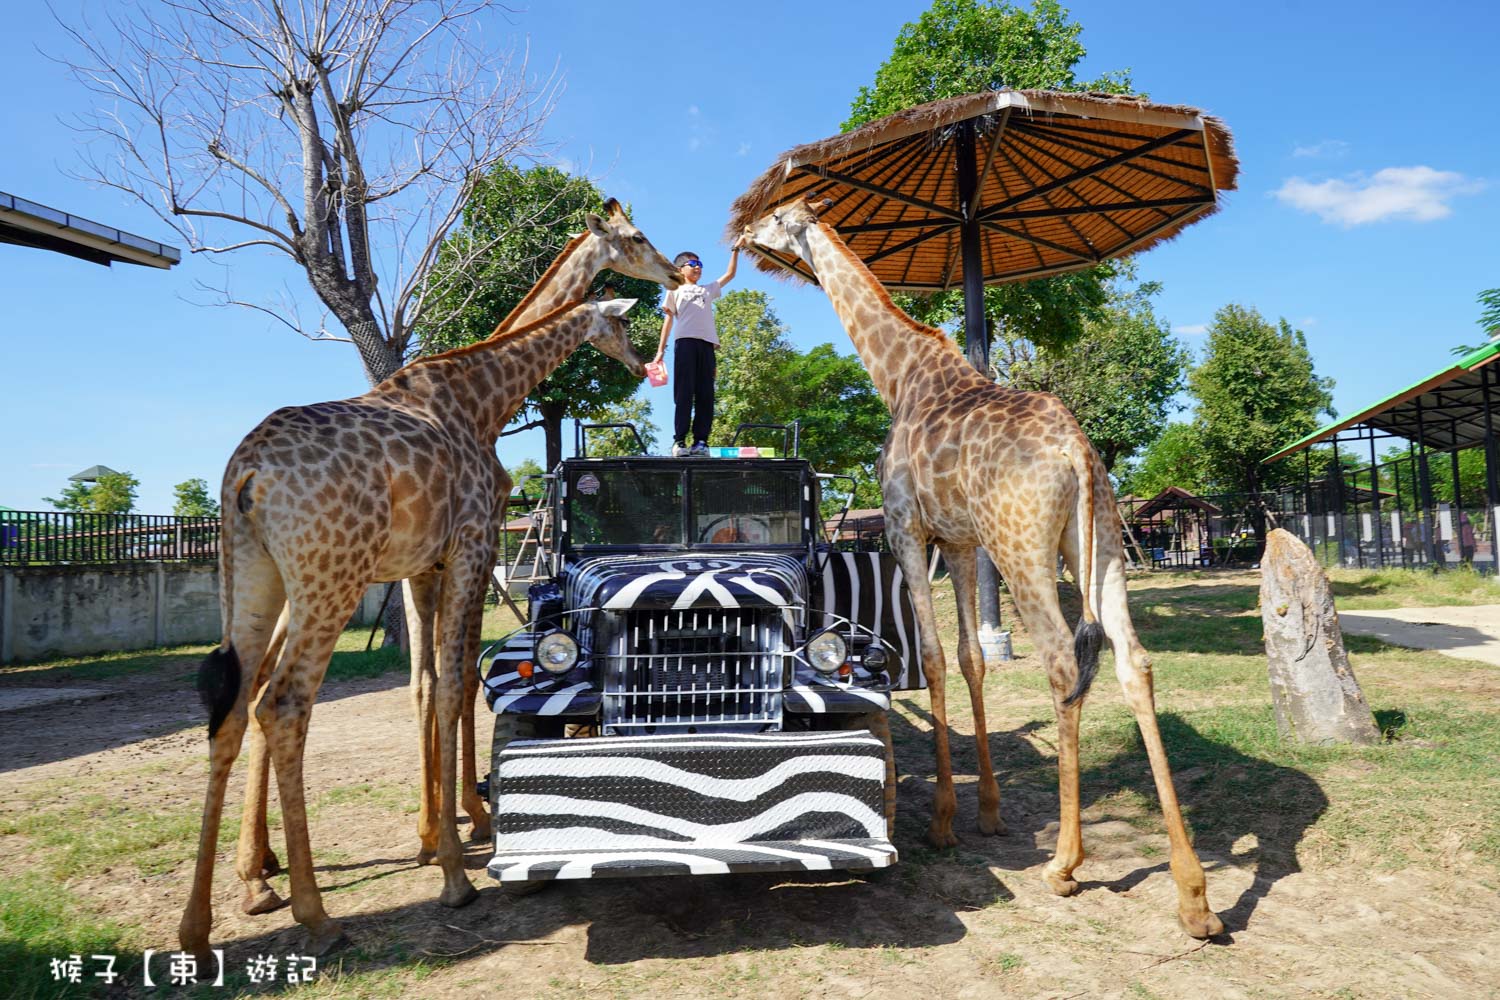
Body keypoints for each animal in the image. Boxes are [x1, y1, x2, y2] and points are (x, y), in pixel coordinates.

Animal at [178, 296, 648, 959]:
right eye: (625, 321)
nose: (643, 362)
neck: (480, 397)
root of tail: (244, 474)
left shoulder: (426, 566)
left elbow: (433, 683)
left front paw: (444, 835)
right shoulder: (471, 546)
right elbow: (455, 685)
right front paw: (453, 866)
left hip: (252, 573)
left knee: (233, 708)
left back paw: (211, 919)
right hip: (332, 575)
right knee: (283, 703)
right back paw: (315, 915)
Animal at [744, 200, 1224, 941]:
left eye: (774, 215)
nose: (740, 234)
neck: (899, 376)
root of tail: (1079, 453)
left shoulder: (909, 530)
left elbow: (937, 658)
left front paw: (944, 822)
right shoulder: (963, 543)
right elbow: (973, 659)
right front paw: (989, 811)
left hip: (1022, 546)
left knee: (1062, 661)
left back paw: (1064, 864)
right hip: (1099, 545)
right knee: (1133, 662)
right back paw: (1193, 896)